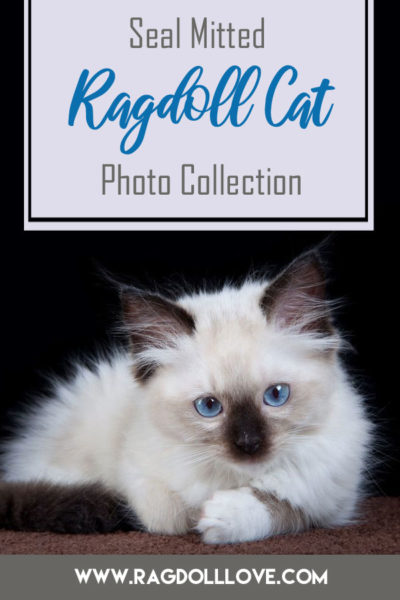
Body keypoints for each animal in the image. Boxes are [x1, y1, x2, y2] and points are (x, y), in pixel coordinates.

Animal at [0, 251, 372, 540]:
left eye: (276, 395)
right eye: (209, 406)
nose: (249, 444)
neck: (234, 477)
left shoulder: (330, 502)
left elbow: (284, 507)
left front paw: (224, 515)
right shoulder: (140, 479)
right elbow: (171, 517)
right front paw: (199, 515)